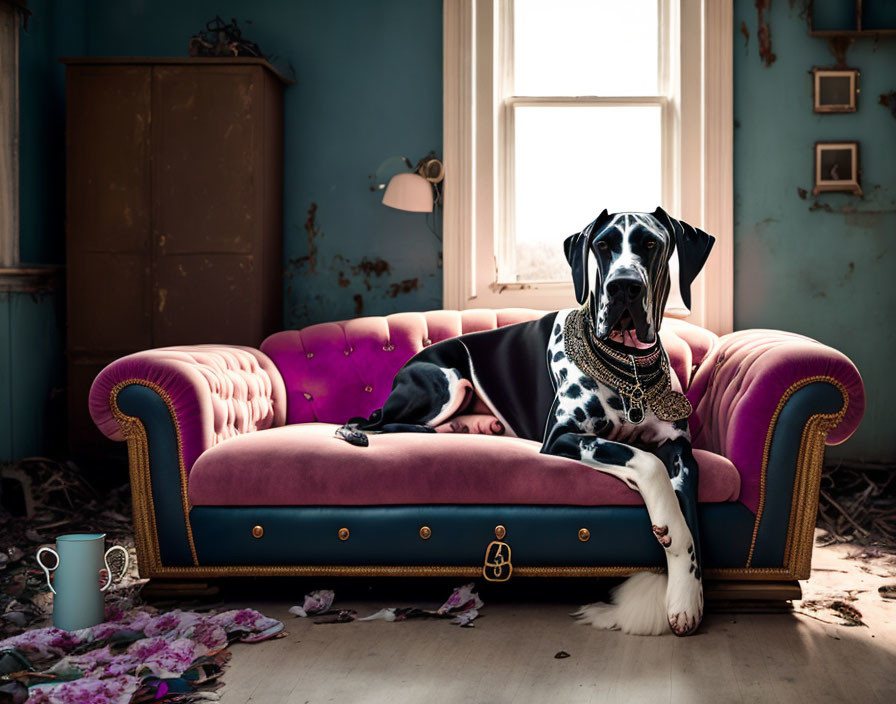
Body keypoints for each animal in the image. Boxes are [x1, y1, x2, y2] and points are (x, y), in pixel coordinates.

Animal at [336, 205, 712, 640]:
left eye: (651, 243)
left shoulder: (679, 447)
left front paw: (686, 598)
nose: (623, 287)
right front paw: (667, 529)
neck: (628, 367)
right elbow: (646, 462)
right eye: (603, 245)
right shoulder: (564, 437)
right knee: (373, 422)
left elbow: (692, 519)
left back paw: (473, 427)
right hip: (444, 382)